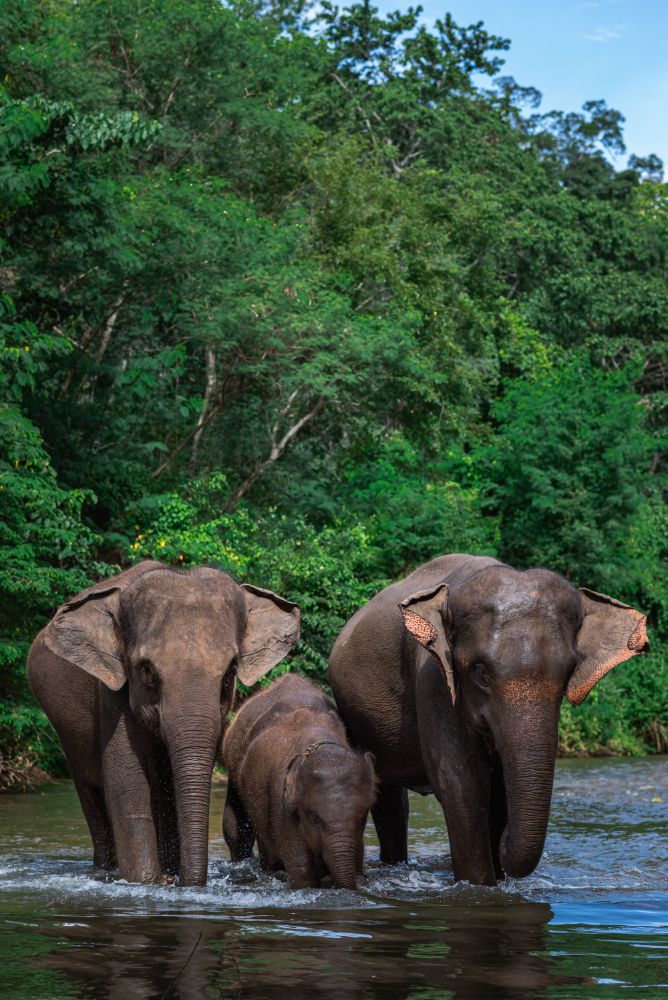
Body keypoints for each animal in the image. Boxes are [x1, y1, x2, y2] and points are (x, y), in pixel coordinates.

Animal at [27, 560, 299, 886]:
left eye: (231, 670)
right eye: (146, 670)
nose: (186, 883)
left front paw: (169, 877)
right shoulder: (112, 694)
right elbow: (127, 785)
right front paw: (146, 882)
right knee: (91, 793)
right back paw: (105, 872)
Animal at [328, 554, 649, 886]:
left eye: (567, 672)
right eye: (480, 671)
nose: (504, 844)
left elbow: (498, 788)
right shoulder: (432, 677)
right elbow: (461, 782)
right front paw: (481, 884)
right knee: (389, 797)